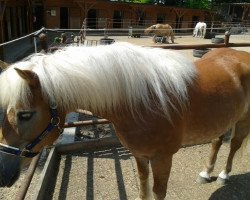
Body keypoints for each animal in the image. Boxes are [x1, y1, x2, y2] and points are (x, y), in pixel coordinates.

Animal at [0, 43, 250, 199]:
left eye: (25, 114)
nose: (3, 174)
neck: (141, 101)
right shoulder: (139, 155)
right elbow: (142, 185)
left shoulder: (162, 158)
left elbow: (158, 191)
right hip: (222, 119)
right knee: (217, 142)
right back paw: (206, 173)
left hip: (243, 120)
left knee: (234, 145)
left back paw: (223, 175)